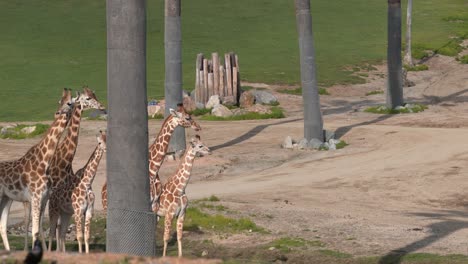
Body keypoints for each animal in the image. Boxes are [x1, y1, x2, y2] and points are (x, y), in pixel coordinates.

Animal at [0, 88, 73, 250]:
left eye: (70, 102)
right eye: (60, 101)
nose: (58, 113)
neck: (44, 162)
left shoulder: (44, 198)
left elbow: (38, 230)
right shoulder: (35, 197)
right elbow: (34, 231)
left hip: (6, 198)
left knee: (2, 225)